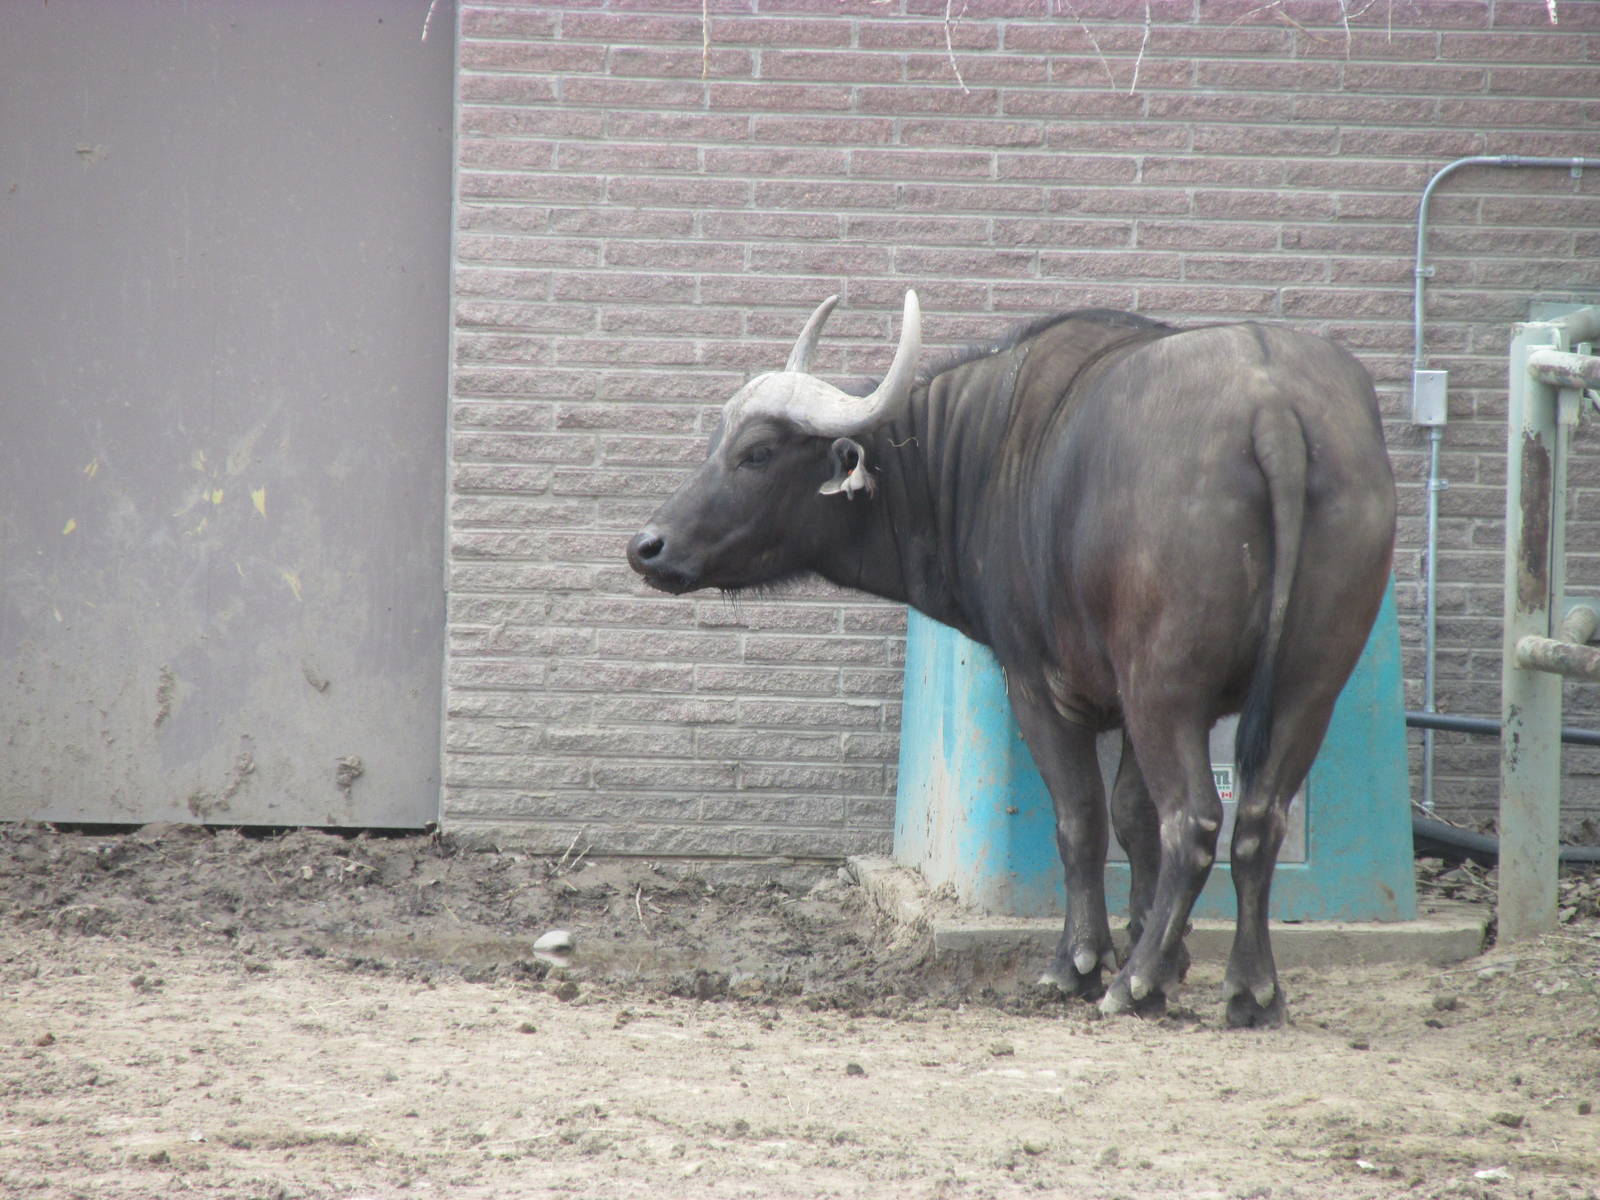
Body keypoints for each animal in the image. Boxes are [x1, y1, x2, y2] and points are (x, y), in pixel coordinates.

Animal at [628, 292, 1395, 1026]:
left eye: (757, 453)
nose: (647, 546)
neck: (981, 454)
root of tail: (1271, 407)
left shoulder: (1040, 684)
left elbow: (1081, 818)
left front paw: (1085, 963)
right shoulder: (1131, 699)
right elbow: (1130, 816)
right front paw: (1165, 953)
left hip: (1167, 688)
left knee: (1196, 821)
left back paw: (1136, 984)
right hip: (1307, 686)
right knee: (1259, 822)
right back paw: (1252, 989)